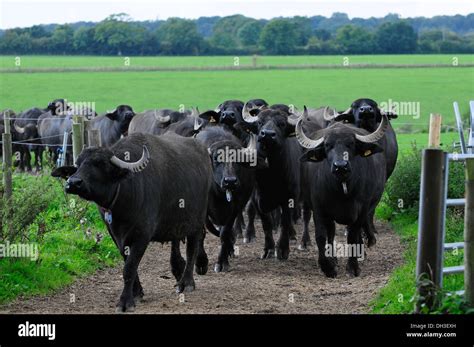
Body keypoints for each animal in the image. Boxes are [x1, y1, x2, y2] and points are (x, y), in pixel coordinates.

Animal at [51, 133, 211, 312]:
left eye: (100, 164)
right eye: (78, 164)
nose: (73, 183)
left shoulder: (142, 235)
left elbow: (129, 267)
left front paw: (125, 302)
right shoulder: (116, 235)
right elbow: (128, 262)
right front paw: (137, 293)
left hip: (197, 221)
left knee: (192, 249)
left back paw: (186, 283)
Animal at [195, 126, 258, 274]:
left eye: (238, 161)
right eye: (217, 160)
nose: (230, 181)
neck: (218, 195)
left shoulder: (234, 210)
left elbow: (224, 233)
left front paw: (222, 262)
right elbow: (202, 233)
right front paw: (200, 263)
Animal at [296, 110, 388, 278]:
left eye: (350, 144)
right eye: (327, 146)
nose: (340, 166)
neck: (342, 189)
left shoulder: (361, 210)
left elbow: (353, 235)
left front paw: (353, 267)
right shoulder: (319, 209)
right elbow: (321, 236)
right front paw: (327, 267)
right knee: (331, 233)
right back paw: (333, 259)